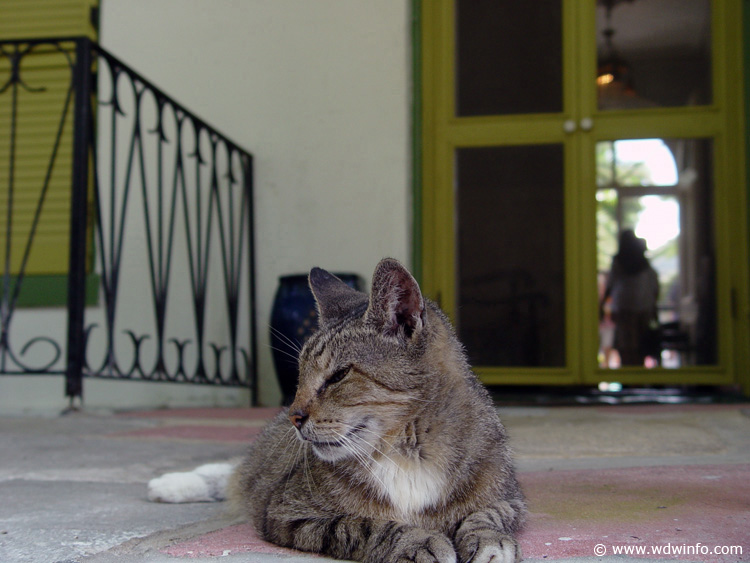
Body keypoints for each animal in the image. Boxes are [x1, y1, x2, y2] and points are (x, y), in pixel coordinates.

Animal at [231, 260, 528, 563]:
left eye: (338, 375)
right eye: (301, 375)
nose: (294, 417)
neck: (408, 453)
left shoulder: (510, 497)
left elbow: (489, 513)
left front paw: (489, 539)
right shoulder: (286, 512)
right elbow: (362, 525)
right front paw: (416, 540)